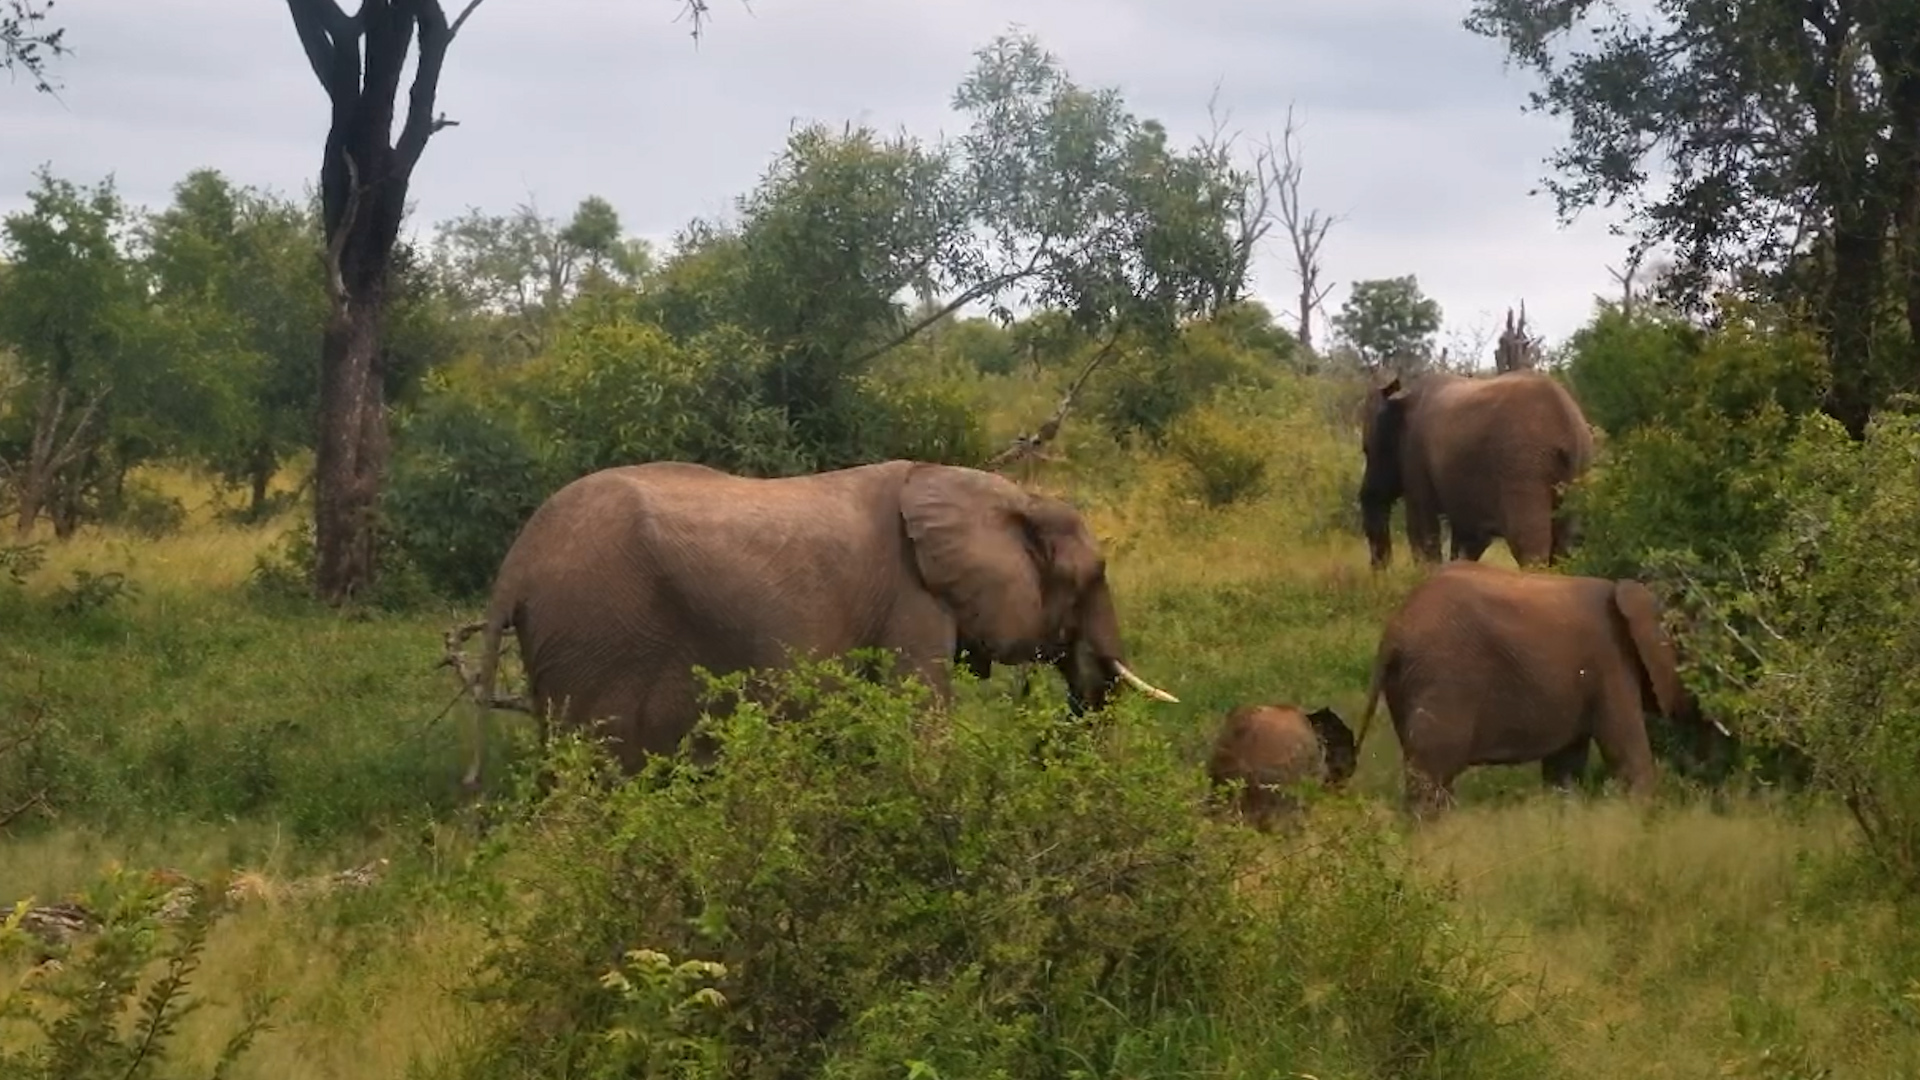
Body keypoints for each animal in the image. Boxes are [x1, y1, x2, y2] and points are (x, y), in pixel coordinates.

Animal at [1352, 561, 1728, 815]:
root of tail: (1394, 629)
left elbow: (1565, 768)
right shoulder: (1610, 663)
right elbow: (1628, 759)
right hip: (1443, 679)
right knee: (1433, 772)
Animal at [1358, 369, 1595, 569]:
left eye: (1366, 449)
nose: (1381, 568)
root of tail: (1570, 427)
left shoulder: (1414, 456)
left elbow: (1422, 528)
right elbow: (1468, 538)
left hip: (1525, 465)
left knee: (1530, 545)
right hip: (1577, 471)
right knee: (1565, 543)